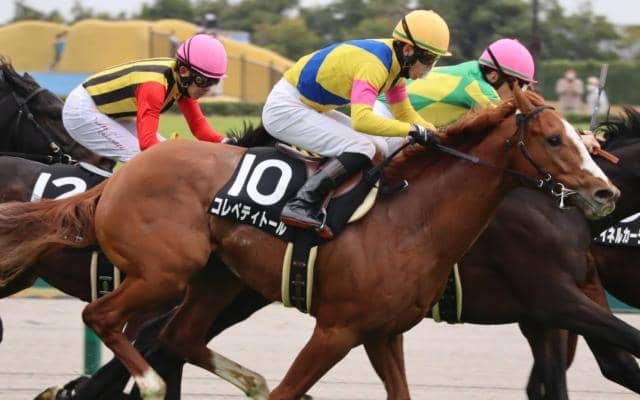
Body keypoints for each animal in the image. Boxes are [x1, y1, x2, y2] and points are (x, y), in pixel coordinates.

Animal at [0, 86, 617, 400]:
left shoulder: (383, 333)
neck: (411, 219)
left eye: (581, 139)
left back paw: (241, 377)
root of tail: (116, 182)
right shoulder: (336, 330)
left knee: (177, 335)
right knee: (104, 317)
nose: (605, 191)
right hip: (163, 273)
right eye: (553, 138)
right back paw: (147, 383)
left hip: (214, 278)